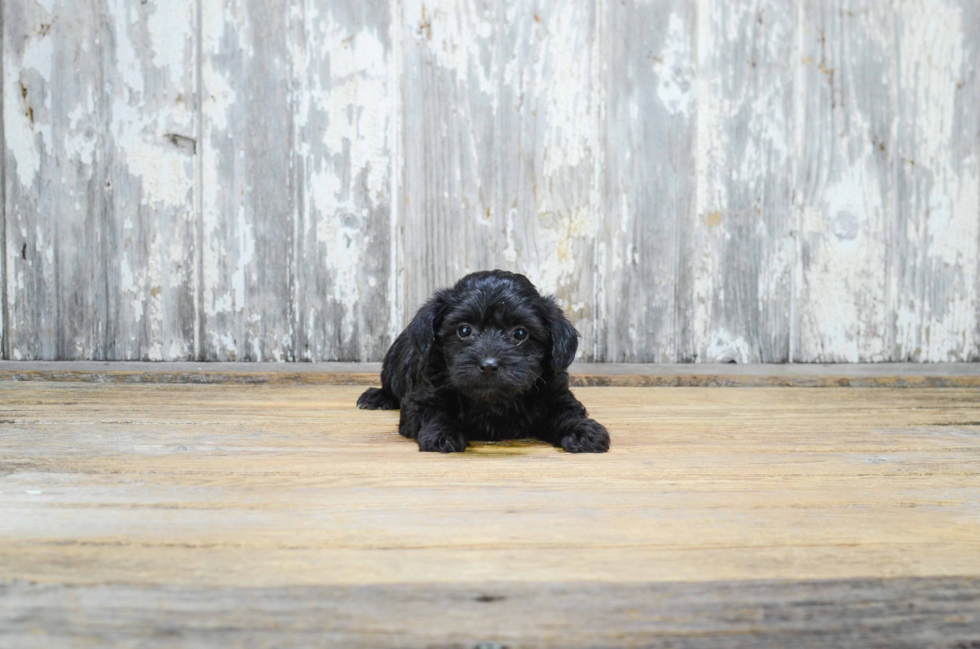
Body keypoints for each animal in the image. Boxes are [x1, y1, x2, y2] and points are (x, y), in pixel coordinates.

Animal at [356, 268, 608, 450]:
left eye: (520, 333)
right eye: (464, 330)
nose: (488, 365)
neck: (494, 401)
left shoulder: (556, 394)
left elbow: (566, 412)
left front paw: (583, 431)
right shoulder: (421, 400)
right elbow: (435, 412)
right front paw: (442, 434)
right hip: (391, 366)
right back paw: (376, 397)